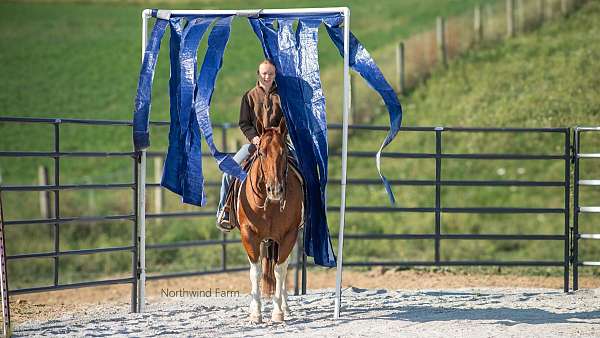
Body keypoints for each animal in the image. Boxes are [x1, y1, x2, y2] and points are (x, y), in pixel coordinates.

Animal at [237, 120, 304, 324]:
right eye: (261, 152)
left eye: (283, 152)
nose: (275, 190)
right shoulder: (248, 234)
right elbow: (256, 272)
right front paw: (256, 313)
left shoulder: (289, 235)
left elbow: (279, 270)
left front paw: (278, 312)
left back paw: (286, 307)